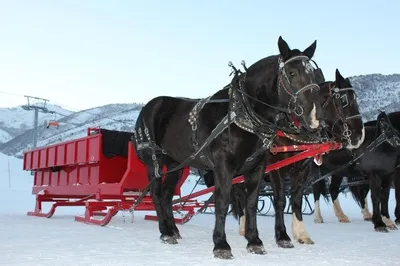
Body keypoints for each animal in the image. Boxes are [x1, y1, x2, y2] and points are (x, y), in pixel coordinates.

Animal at [133, 36, 324, 258]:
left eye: (314, 73)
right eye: (292, 73)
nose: (315, 115)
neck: (243, 113)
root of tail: (149, 107)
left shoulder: (257, 167)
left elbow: (251, 203)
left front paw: (254, 241)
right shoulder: (224, 167)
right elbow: (222, 202)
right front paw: (221, 244)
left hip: (176, 165)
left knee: (166, 195)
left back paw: (173, 230)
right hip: (152, 161)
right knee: (156, 194)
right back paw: (164, 231)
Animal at [208, 69, 364, 247]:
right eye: (344, 100)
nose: (359, 136)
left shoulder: (303, 169)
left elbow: (296, 200)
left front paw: (301, 234)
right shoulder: (276, 167)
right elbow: (280, 200)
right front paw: (282, 235)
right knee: (240, 196)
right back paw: (243, 226)